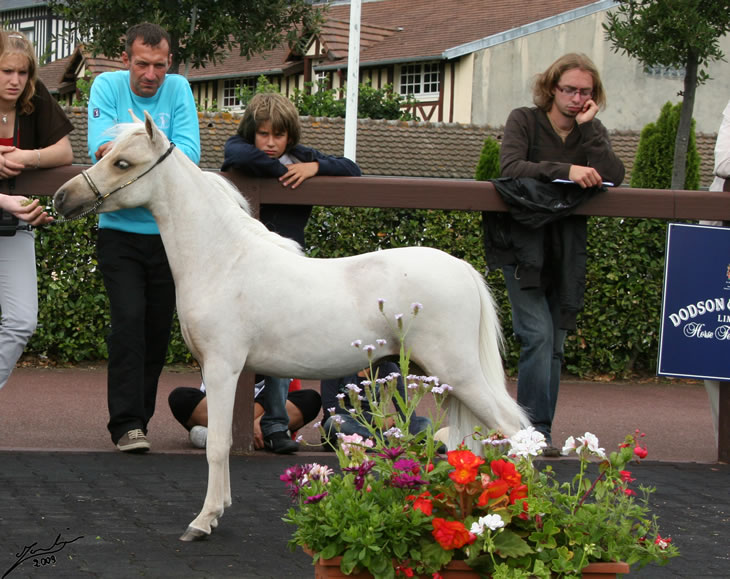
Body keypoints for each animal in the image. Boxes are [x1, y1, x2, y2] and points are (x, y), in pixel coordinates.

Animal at [54, 114, 528, 544]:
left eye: (123, 163)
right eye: (105, 154)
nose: (62, 198)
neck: (223, 259)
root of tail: (462, 268)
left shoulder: (223, 368)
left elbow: (217, 445)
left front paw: (202, 522)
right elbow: (222, 442)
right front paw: (220, 509)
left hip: (458, 373)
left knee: (515, 431)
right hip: (446, 382)